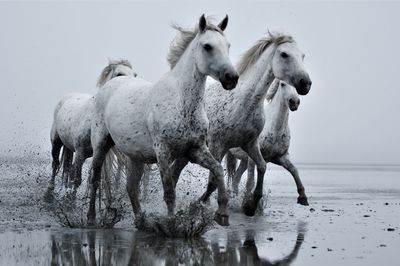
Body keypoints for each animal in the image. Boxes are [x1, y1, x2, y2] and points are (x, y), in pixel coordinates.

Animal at [47, 58, 136, 191]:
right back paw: (51, 187)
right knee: (56, 164)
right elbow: (77, 180)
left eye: (135, 75)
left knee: (68, 168)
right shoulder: (80, 151)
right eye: (119, 74)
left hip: (70, 147)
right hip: (56, 141)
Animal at [87, 14, 238, 225]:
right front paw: (171, 224)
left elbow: (217, 170)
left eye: (228, 45)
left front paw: (222, 213)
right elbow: (169, 192)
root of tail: (111, 84)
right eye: (207, 46)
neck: (182, 103)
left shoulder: (195, 151)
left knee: (131, 187)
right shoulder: (163, 153)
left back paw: (141, 221)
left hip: (136, 157)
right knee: (95, 179)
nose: (231, 77)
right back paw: (91, 218)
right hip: (101, 145)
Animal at [169, 31, 312, 216]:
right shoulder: (219, 146)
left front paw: (251, 205)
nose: (305, 84)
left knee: (176, 171)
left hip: (190, 152)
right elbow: (216, 180)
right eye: (284, 54)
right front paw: (200, 204)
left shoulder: (258, 148)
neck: (243, 103)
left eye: (302, 56)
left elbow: (269, 168)